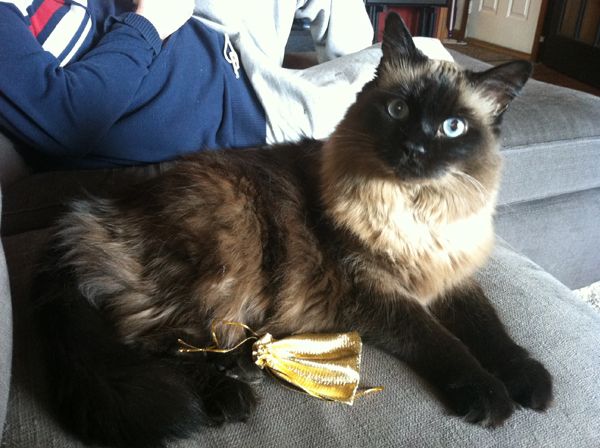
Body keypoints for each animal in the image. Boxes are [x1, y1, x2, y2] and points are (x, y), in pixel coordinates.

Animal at [35, 14, 552, 448]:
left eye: (452, 127)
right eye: (399, 111)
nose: (414, 150)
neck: (412, 214)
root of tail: (89, 212)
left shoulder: (453, 278)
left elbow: (492, 331)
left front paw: (532, 383)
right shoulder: (378, 294)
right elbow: (446, 343)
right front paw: (490, 395)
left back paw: (238, 367)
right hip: (224, 262)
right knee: (144, 339)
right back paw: (229, 396)